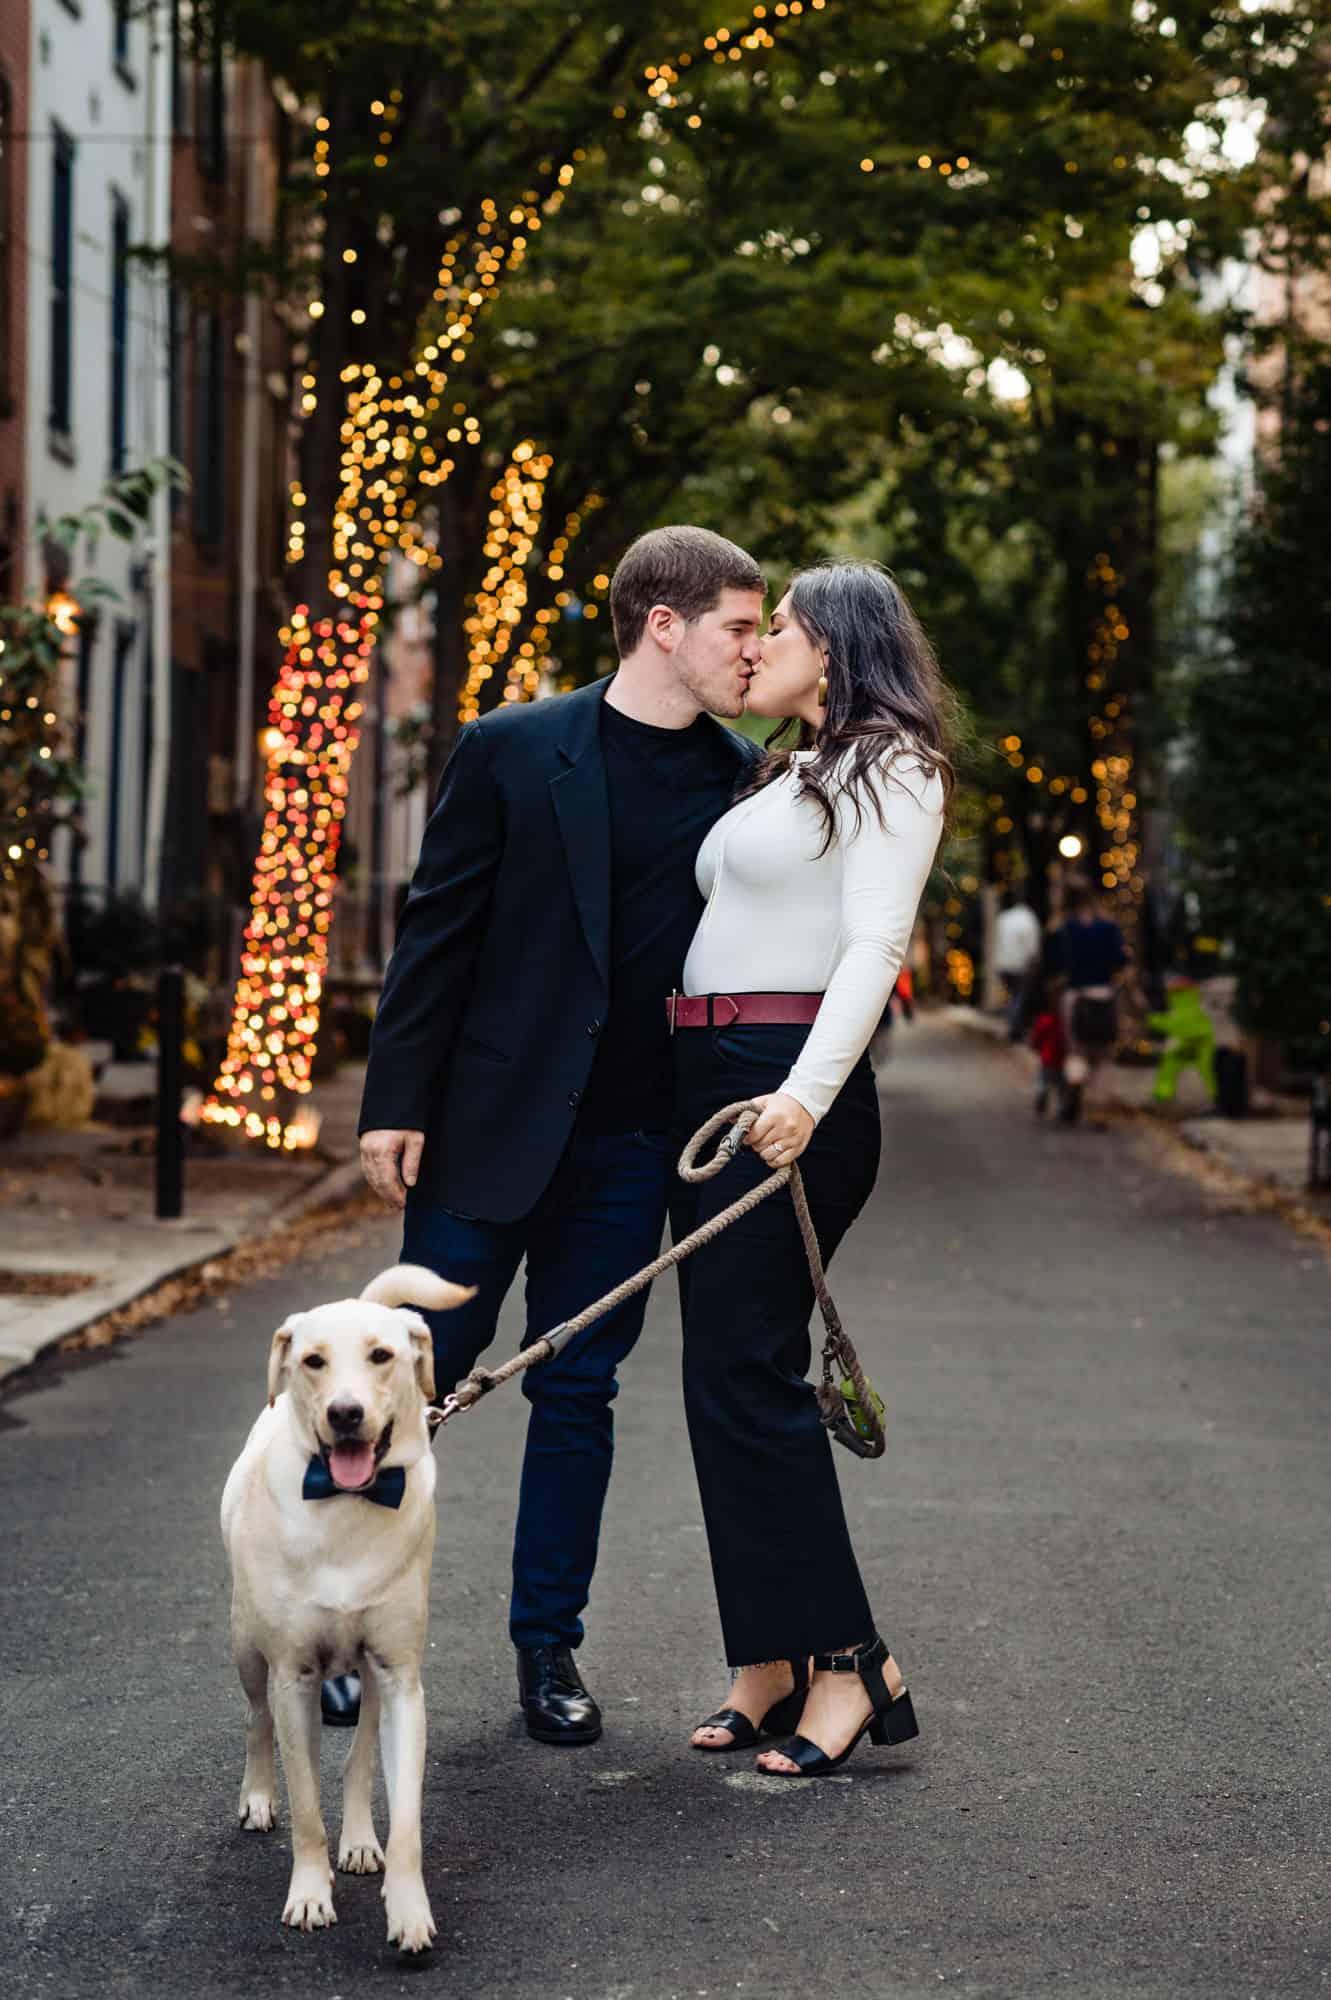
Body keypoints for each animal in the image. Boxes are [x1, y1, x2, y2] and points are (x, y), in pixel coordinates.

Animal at [223, 1264, 477, 1952]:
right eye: (313, 1361)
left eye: (382, 1356)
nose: (344, 1413)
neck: (346, 1502)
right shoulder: (292, 1678)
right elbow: (307, 1808)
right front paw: (310, 1894)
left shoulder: (400, 1677)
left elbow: (405, 1813)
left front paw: (408, 1908)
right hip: (247, 1648)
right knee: (258, 1721)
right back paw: (259, 1795)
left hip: (370, 1678)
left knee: (359, 1760)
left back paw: (361, 1838)